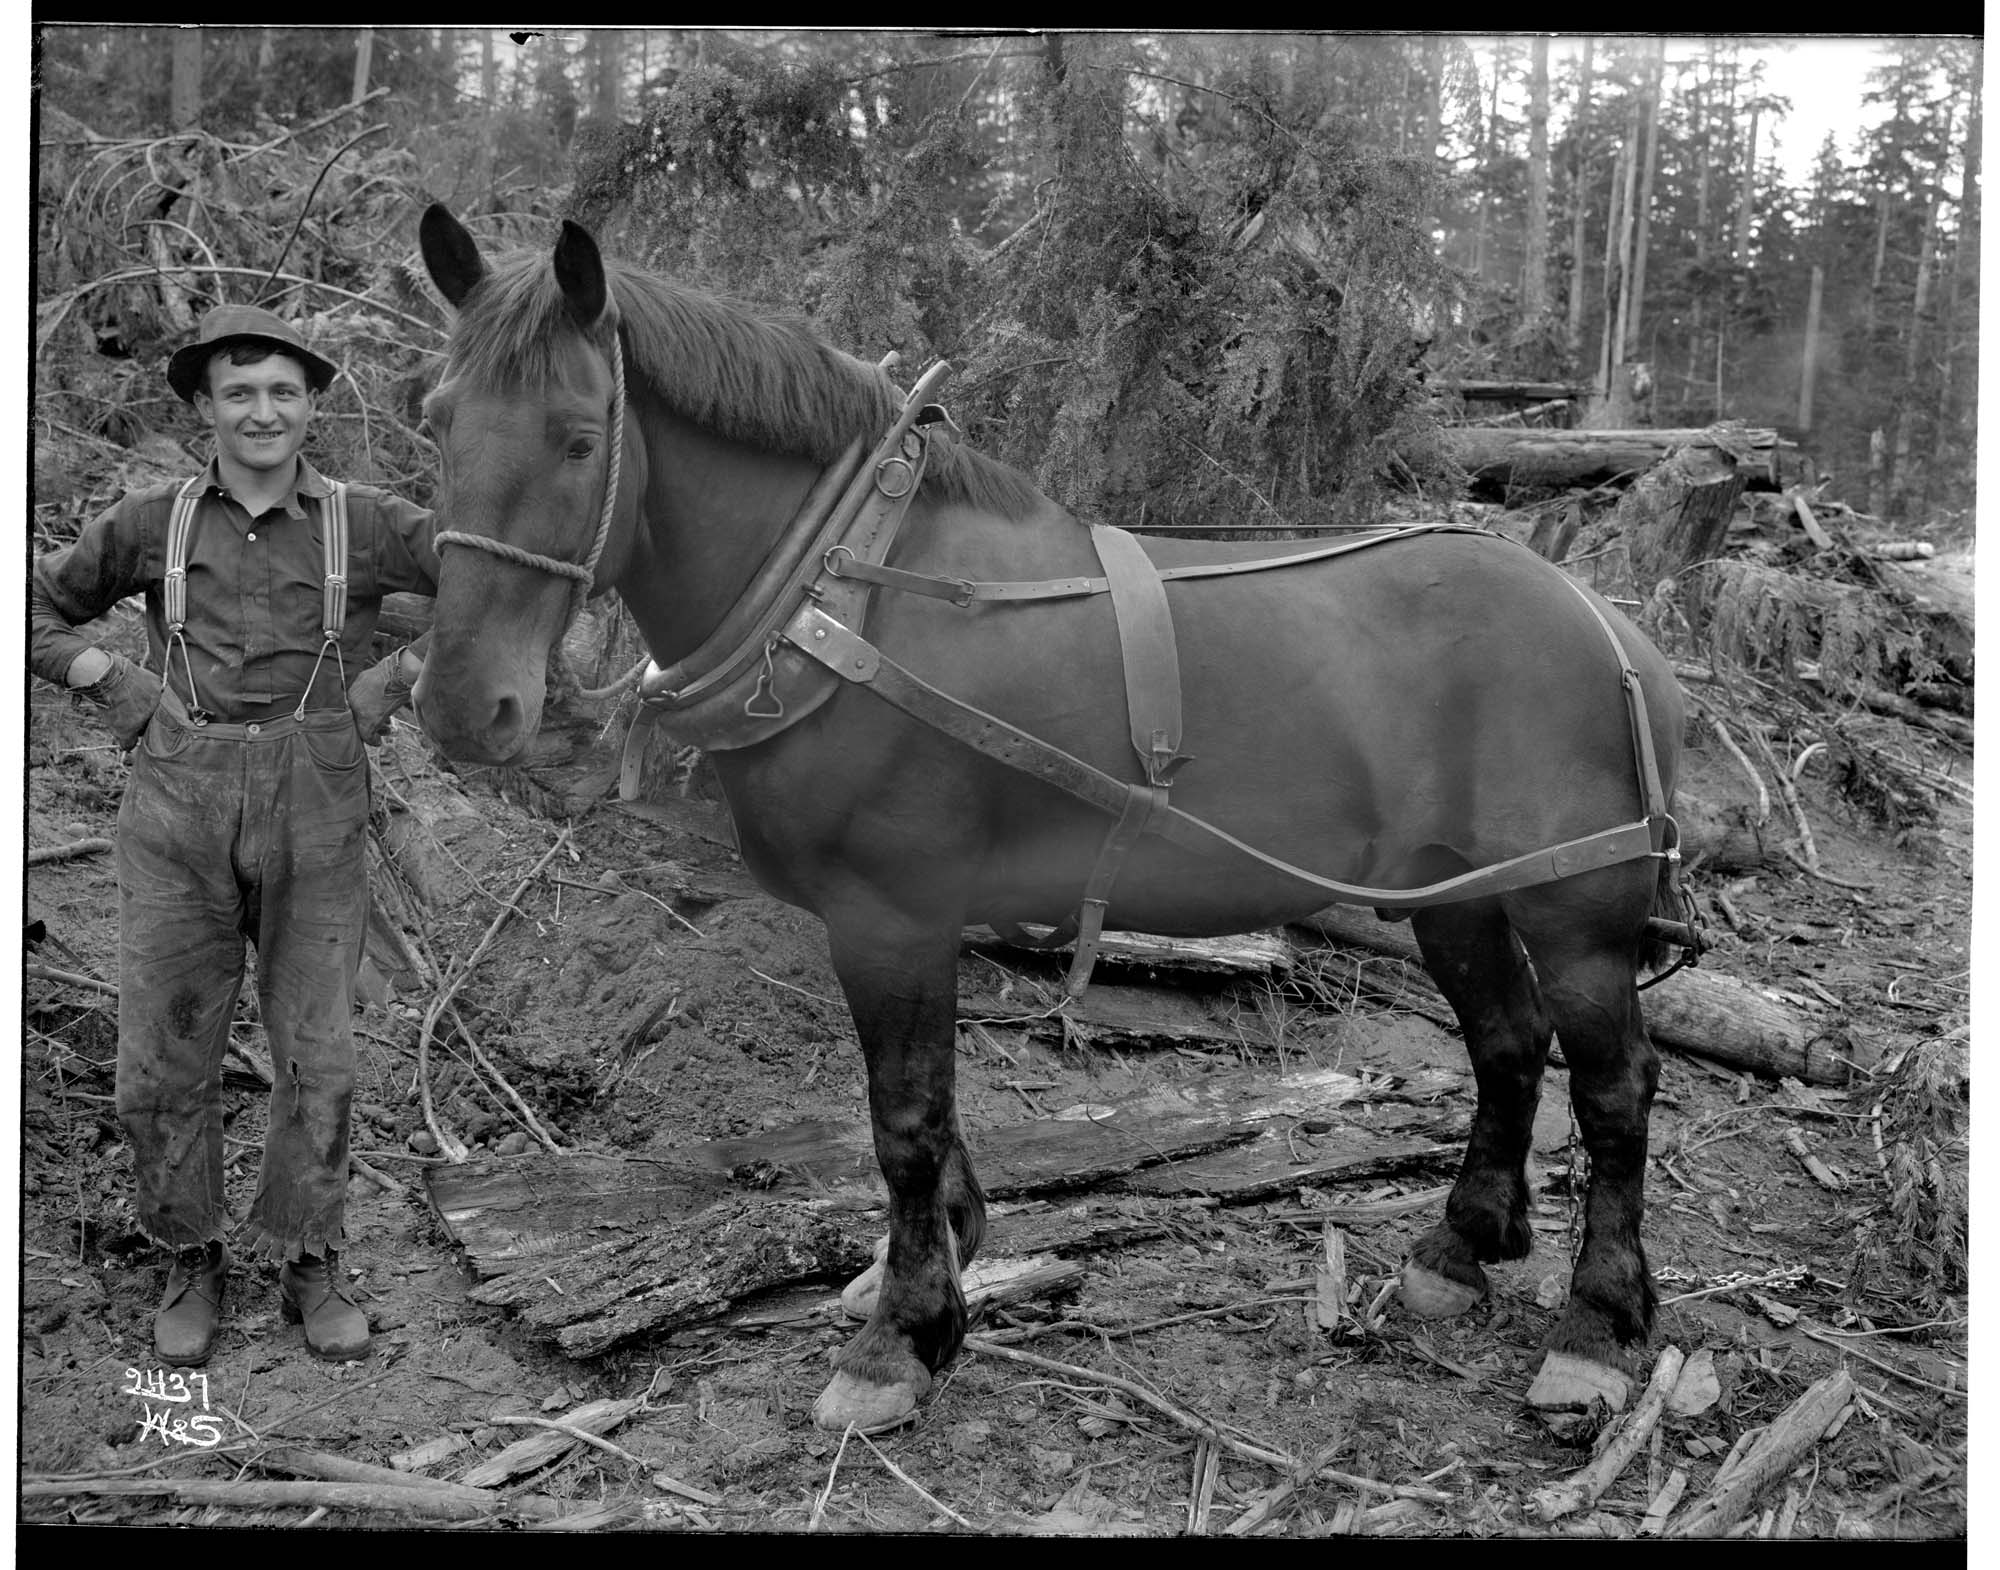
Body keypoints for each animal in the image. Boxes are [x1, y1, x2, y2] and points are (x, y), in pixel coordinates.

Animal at [411, 203, 1688, 1433]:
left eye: (581, 438)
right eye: (435, 420)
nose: (464, 707)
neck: (847, 591)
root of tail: (1601, 622)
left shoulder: (890, 912)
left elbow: (904, 1120)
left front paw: (902, 1338)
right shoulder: (905, 922)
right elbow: (930, 1118)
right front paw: (936, 1271)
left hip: (1571, 908)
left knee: (1614, 1088)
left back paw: (1596, 1323)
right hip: (1449, 892)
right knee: (1506, 1045)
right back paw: (1461, 1244)